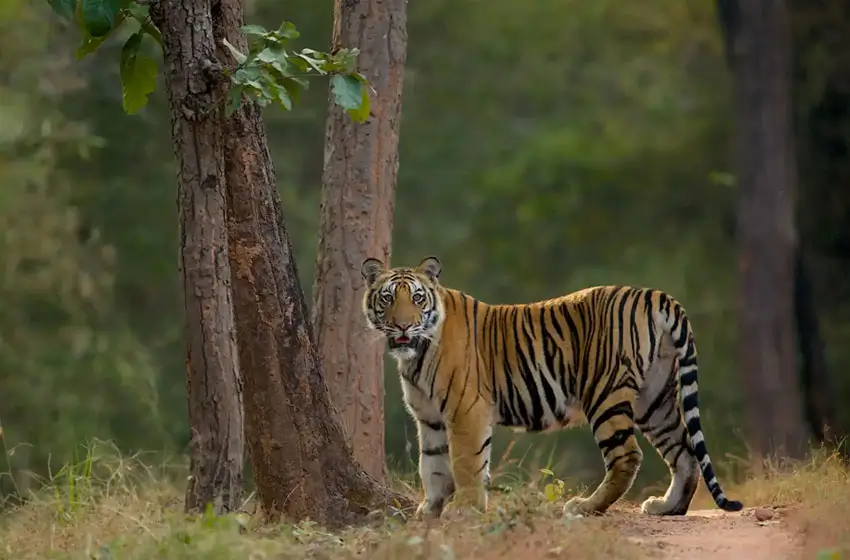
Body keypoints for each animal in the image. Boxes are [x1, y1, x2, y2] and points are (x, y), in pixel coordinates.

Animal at [360, 255, 744, 519]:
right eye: (387, 299)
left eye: (417, 299)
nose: (403, 326)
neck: (415, 353)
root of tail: (655, 295)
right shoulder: (430, 417)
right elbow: (433, 465)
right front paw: (429, 511)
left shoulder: (465, 410)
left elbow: (466, 464)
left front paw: (464, 510)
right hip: (655, 398)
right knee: (684, 451)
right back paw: (667, 507)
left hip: (604, 393)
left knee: (628, 456)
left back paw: (585, 507)